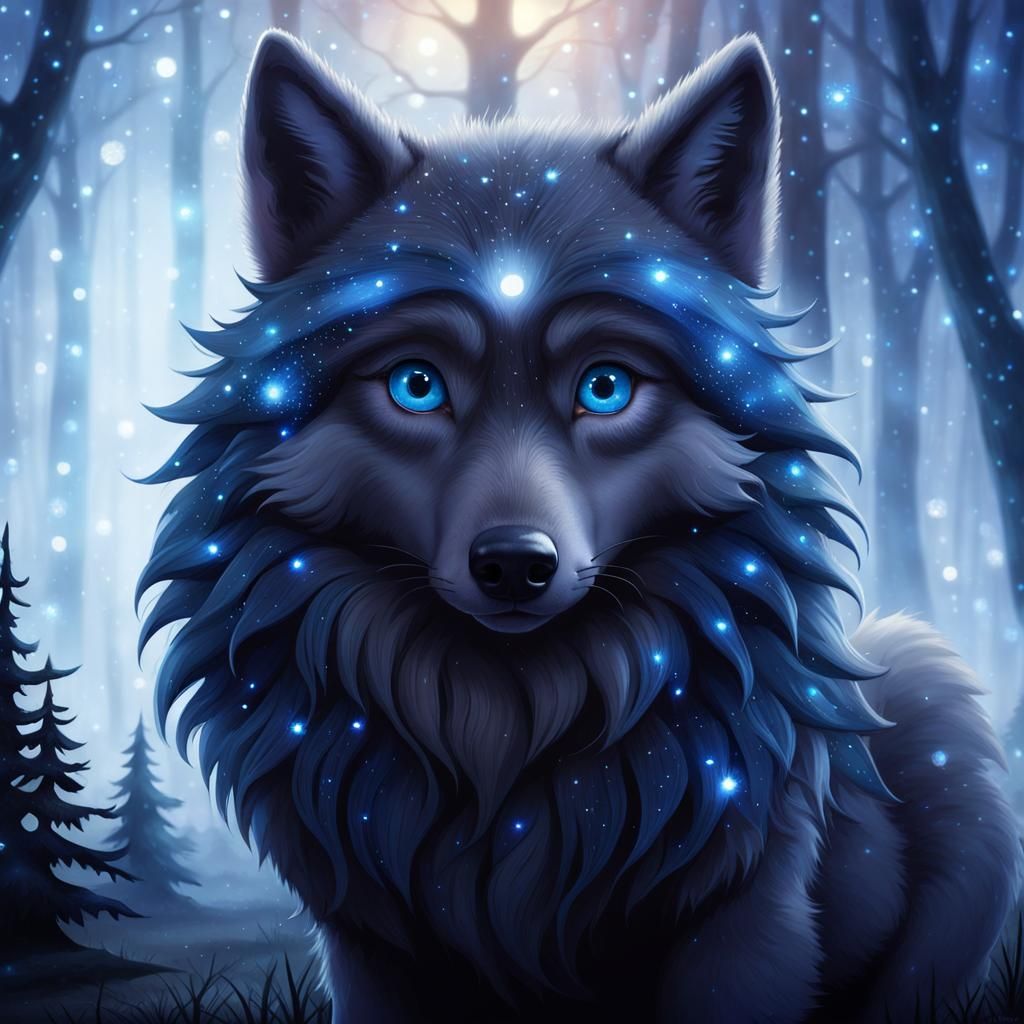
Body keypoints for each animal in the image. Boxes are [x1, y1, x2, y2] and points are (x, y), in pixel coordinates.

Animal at [139, 29, 1021, 1023]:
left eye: (605, 386)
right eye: (416, 384)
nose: (515, 565)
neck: (504, 735)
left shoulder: (745, 918)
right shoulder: (370, 946)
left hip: (929, 682)